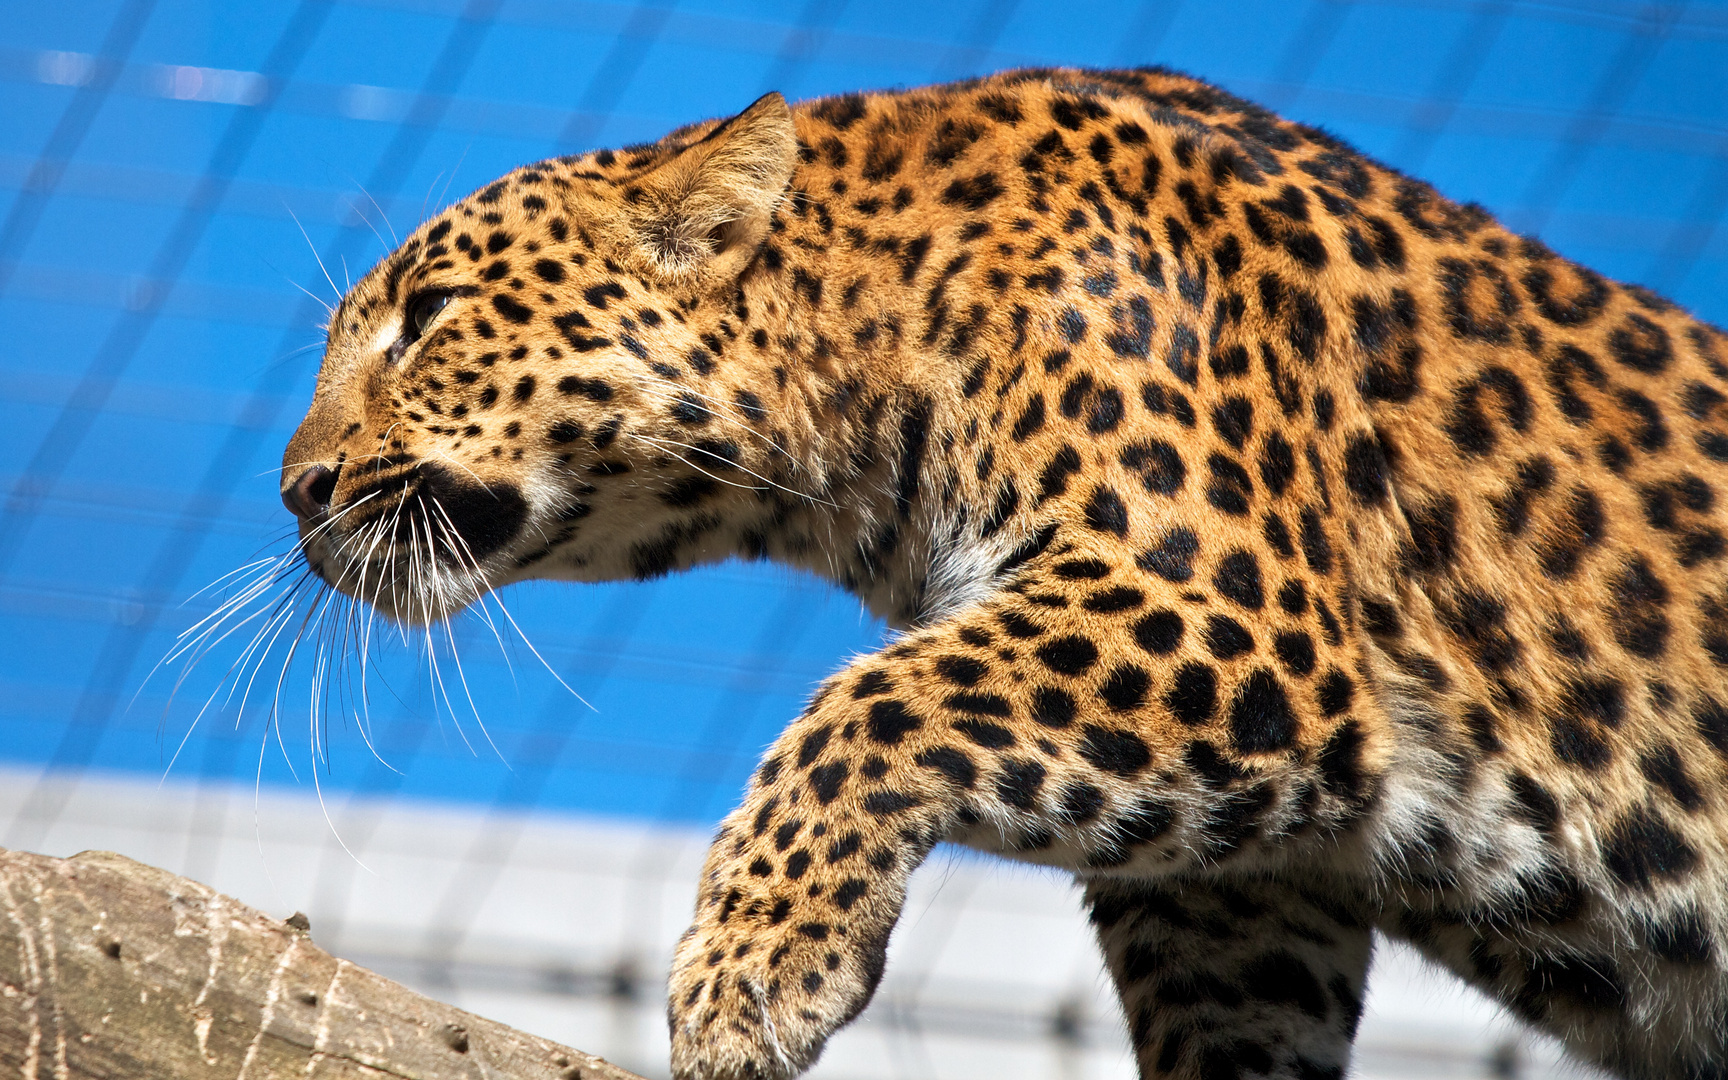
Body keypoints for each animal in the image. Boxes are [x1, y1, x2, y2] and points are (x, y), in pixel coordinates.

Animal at [273, 67, 1728, 1078]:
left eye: (429, 317)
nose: (297, 491)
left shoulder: (1233, 615)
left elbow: (866, 704)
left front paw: (753, 965)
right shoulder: (1245, 890)